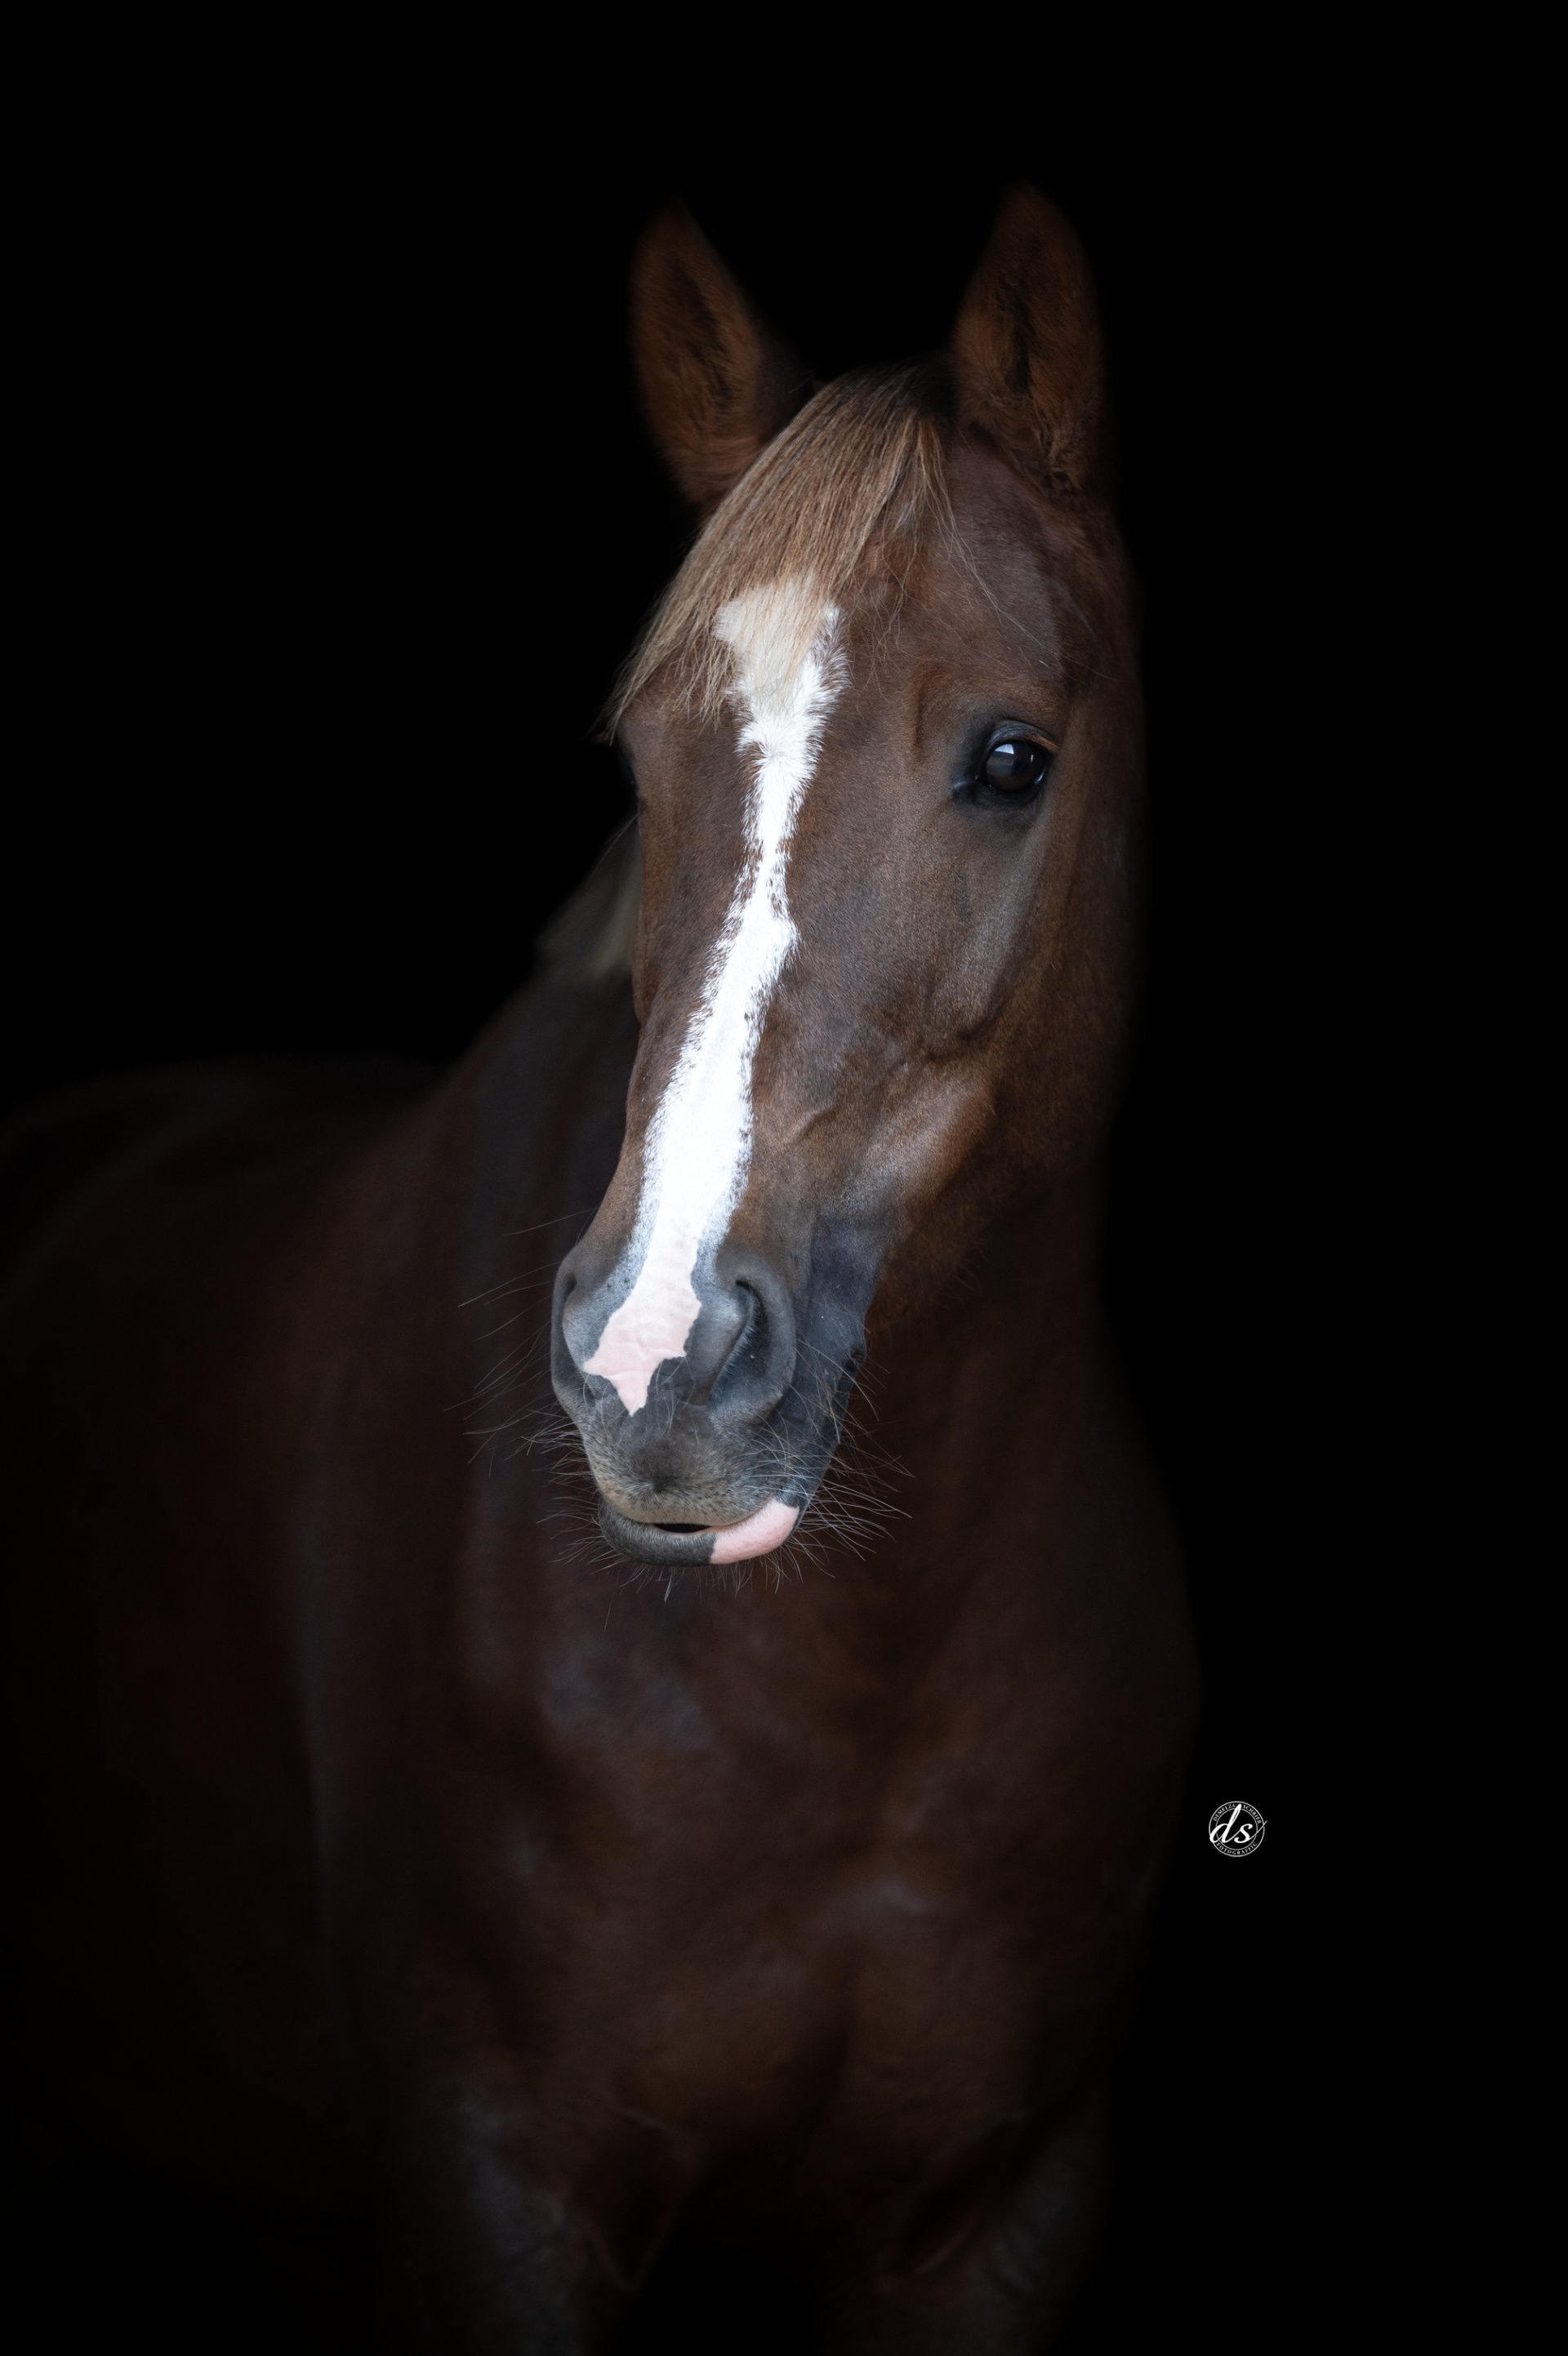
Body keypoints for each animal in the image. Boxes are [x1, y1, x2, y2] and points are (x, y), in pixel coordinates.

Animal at [0, 187, 1198, 2350]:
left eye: (1012, 755)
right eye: (645, 766)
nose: (657, 1361)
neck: (860, 1690)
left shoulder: (1003, 2217)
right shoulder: (499, 2189)